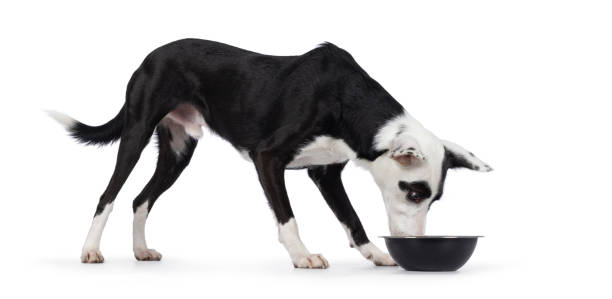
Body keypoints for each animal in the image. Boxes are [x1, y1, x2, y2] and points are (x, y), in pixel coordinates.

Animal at [50, 38, 494, 268]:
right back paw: (90, 250)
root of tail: (152, 55)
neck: (344, 99)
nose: (417, 241)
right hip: (137, 134)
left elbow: (351, 218)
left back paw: (140, 250)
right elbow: (289, 219)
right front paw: (302, 256)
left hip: (178, 152)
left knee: (141, 199)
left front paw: (375, 253)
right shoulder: (268, 159)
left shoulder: (326, 174)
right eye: (414, 191)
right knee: (108, 195)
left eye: (433, 199)